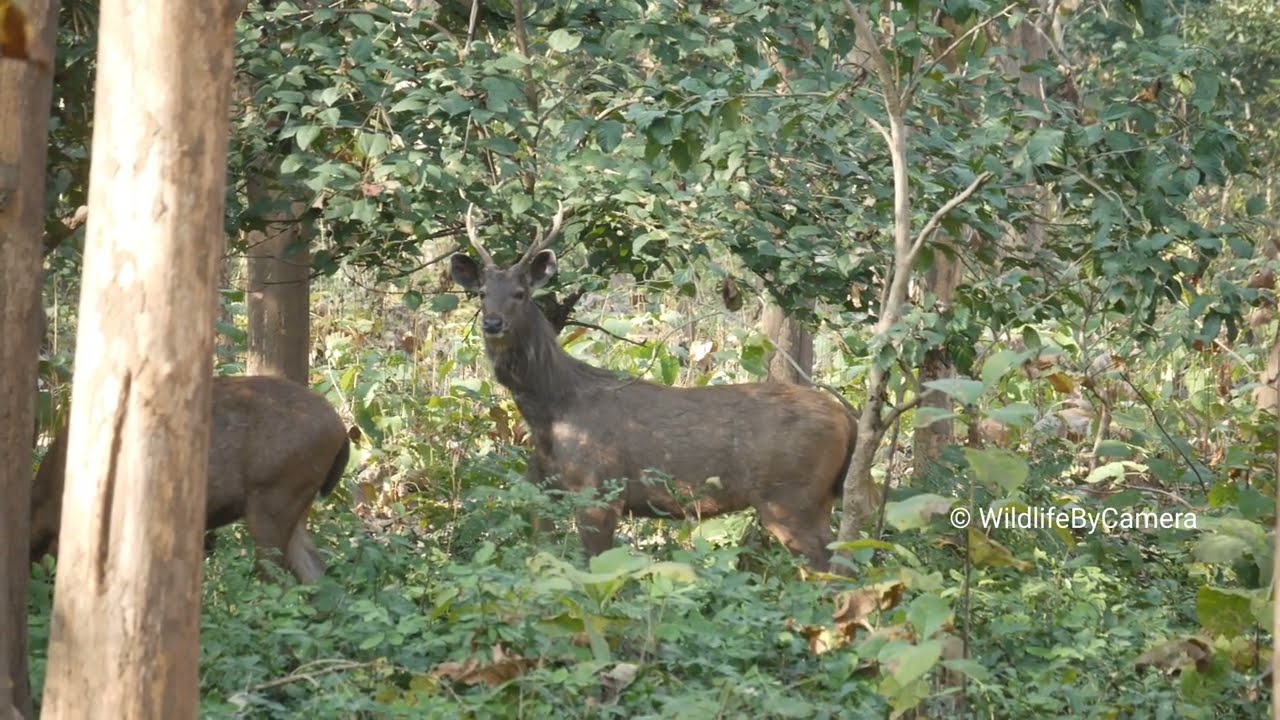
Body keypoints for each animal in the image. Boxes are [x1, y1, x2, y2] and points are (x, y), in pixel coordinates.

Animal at [450, 204, 858, 571]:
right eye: (482, 292)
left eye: (520, 293)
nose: (493, 323)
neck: (553, 411)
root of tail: (846, 417)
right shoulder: (541, 488)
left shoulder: (600, 489)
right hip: (813, 499)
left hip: (790, 497)